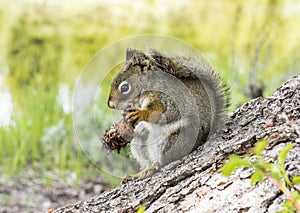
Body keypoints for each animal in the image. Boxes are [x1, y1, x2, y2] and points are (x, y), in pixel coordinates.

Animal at [107, 48, 227, 178]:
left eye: (124, 88)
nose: (110, 105)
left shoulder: (166, 99)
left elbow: (159, 113)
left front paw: (140, 114)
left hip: (171, 139)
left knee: (164, 160)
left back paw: (153, 167)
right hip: (139, 144)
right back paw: (140, 172)